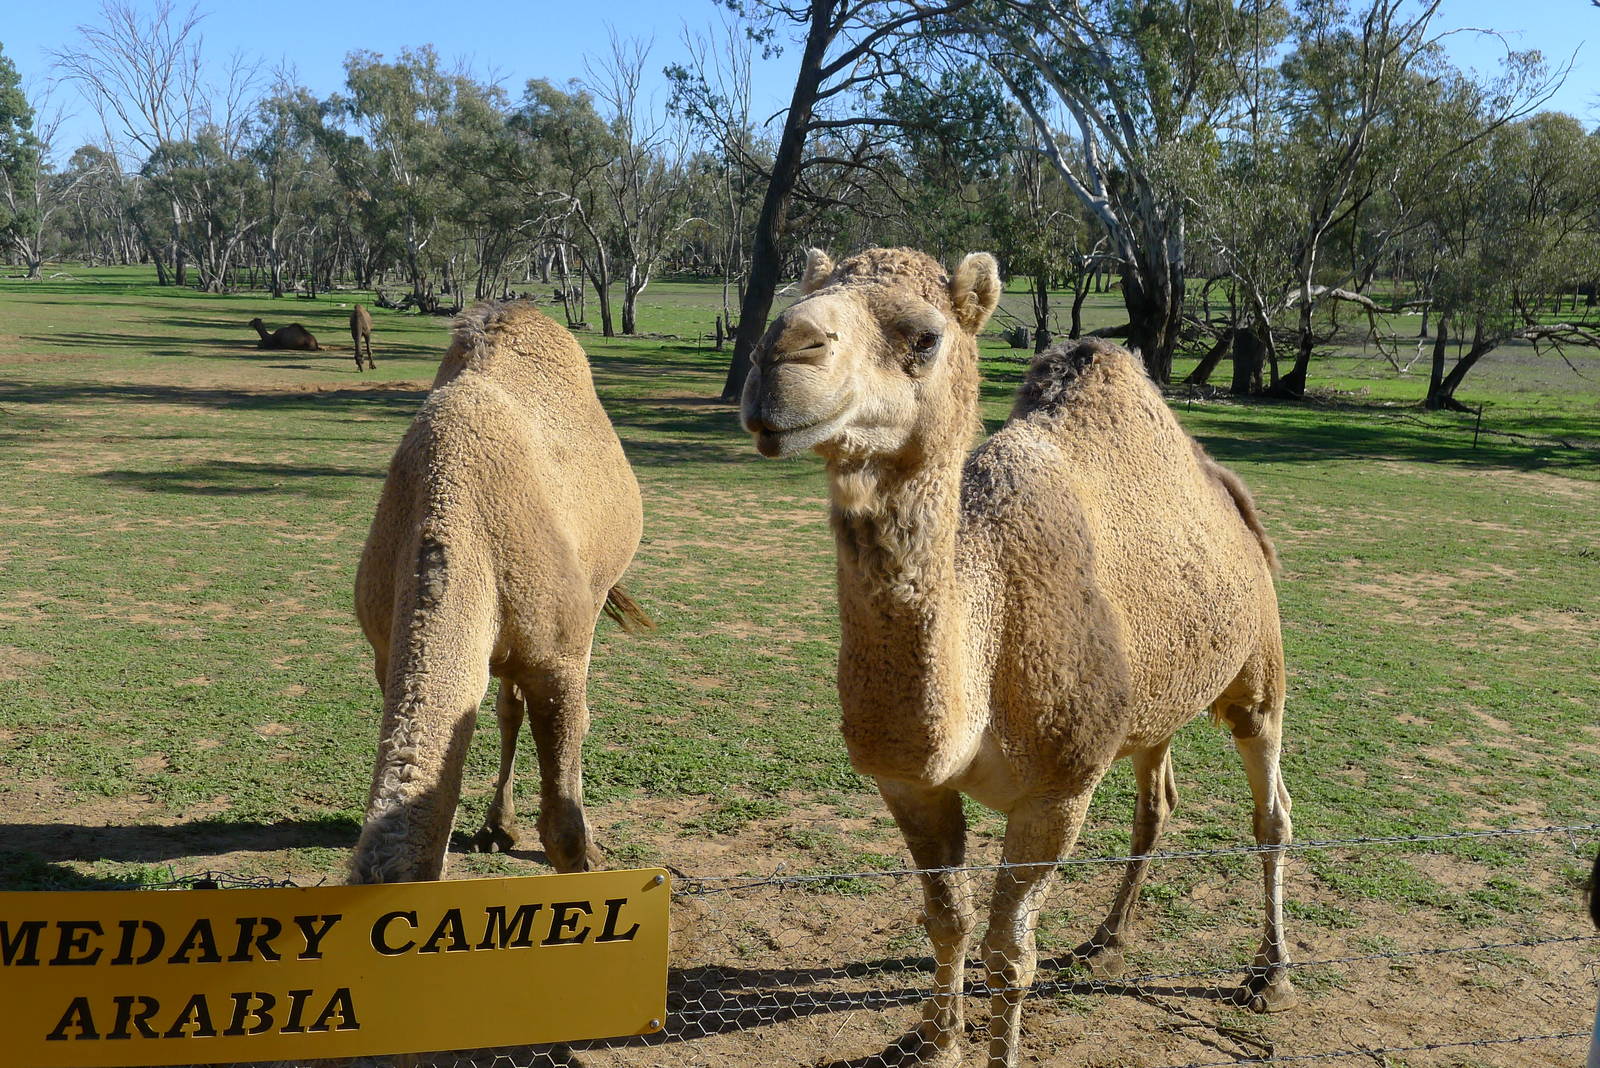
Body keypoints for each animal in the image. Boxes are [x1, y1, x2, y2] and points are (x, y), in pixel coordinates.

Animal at [349, 300, 649, 884]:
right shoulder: (385, 651)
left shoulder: (558, 656)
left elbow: (563, 829)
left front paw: (587, 854)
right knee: (509, 707)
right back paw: (497, 825)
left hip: (591, 597)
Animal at [740, 247, 1294, 1067]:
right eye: (799, 300)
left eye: (924, 337)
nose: (780, 353)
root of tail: (1228, 490)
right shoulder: (910, 783)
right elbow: (949, 918)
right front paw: (936, 1039)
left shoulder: (1058, 789)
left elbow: (1009, 952)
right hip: (1151, 694)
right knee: (1155, 801)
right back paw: (1105, 941)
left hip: (1258, 668)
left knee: (1271, 810)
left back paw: (1269, 976)